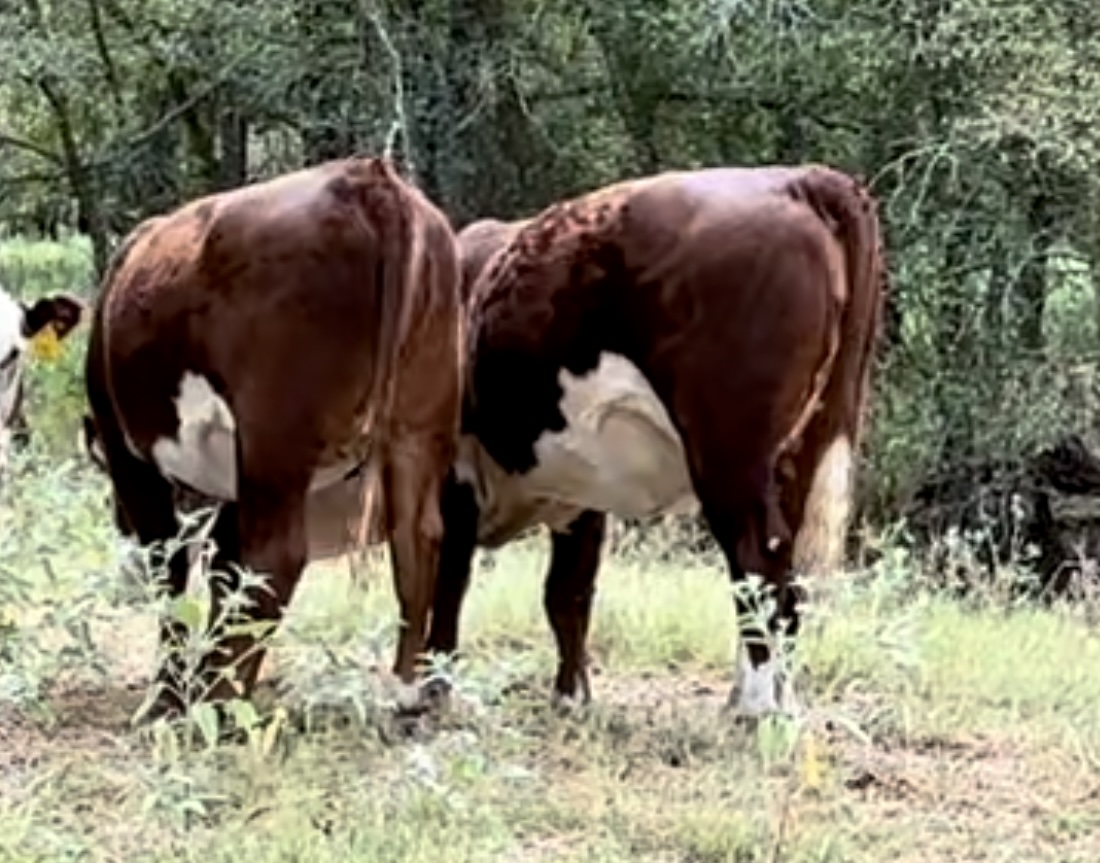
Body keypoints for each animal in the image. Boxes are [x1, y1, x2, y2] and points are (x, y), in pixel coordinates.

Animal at [84, 156, 464, 721]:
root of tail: (366, 178)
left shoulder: (129, 453)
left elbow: (171, 566)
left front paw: (168, 698)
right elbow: (223, 569)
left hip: (273, 436)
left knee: (276, 556)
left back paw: (222, 701)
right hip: (418, 424)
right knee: (416, 539)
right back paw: (403, 695)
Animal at [424, 164, 888, 716]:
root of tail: (796, 179)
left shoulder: (453, 475)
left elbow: (446, 583)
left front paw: (428, 693)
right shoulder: (581, 489)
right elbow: (567, 593)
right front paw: (571, 698)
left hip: (730, 454)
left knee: (760, 564)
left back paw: (755, 710)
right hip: (800, 453)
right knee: (785, 575)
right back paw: (761, 701)